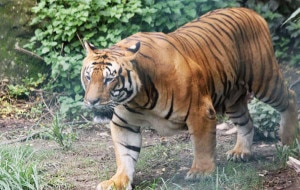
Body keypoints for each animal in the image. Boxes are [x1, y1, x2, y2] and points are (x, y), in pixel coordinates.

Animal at [81, 6, 298, 189]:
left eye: (109, 79)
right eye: (89, 76)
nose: (91, 102)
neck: (140, 99)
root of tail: (248, 10)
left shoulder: (200, 111)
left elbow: (202, 145)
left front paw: (201, 173)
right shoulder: (123, 123)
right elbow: (125, 153)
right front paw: (116, 181)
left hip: (264, 79)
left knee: (290, 97)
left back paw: (288, 141)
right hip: (233, 99)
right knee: (247, 121)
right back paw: (241, 152)